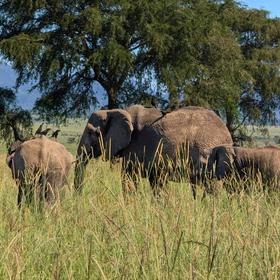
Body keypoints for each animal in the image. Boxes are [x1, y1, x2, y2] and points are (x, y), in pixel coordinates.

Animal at [74, 105, 234, 197]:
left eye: (92, 133)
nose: (79, 197)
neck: (115, 111)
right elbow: (156, 183)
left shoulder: (135, 147)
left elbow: (129, 178)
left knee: (211, 186)